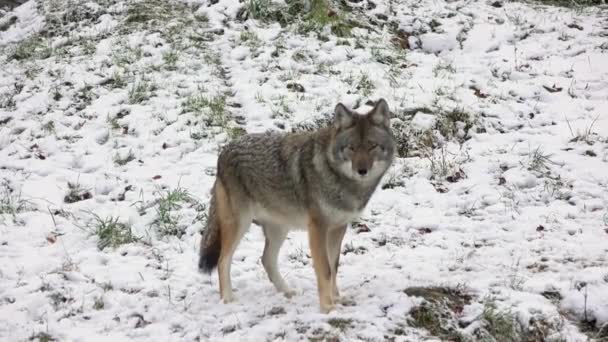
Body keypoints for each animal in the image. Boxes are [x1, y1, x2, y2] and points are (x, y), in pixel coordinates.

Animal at [197, 99, 396, 312]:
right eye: (351, 147)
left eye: (372, 146)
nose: (362, 170)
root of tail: (224, 151)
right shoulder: (318, 228)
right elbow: (325, 270)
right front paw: (327, 307)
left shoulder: (338, 228)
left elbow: (334, 267)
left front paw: (337, 299)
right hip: (239, 225)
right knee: (222, 260)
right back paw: (227, 299)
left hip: (279, 229)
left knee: (266, 260)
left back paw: (287, 292)